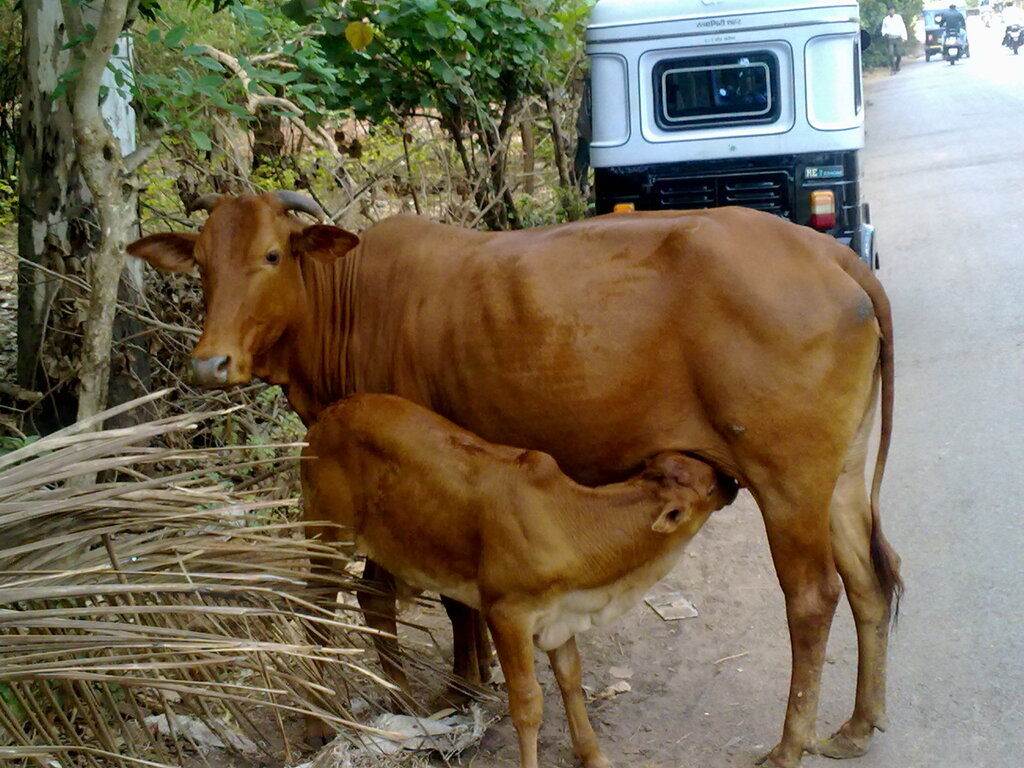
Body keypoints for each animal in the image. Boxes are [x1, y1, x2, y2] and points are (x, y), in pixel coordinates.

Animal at [128, 192, 901, 767]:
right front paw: (473, 681)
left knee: (812, 599)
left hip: (786, 480)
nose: (210, 363)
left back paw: (790, 744)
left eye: (270, 255)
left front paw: (451, 687)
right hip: (839, 475)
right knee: (869, 578)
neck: (351, 300)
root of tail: (830, 253)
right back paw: (857, 726)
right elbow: (441, 600)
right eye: (200, 264)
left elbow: (415, 598)